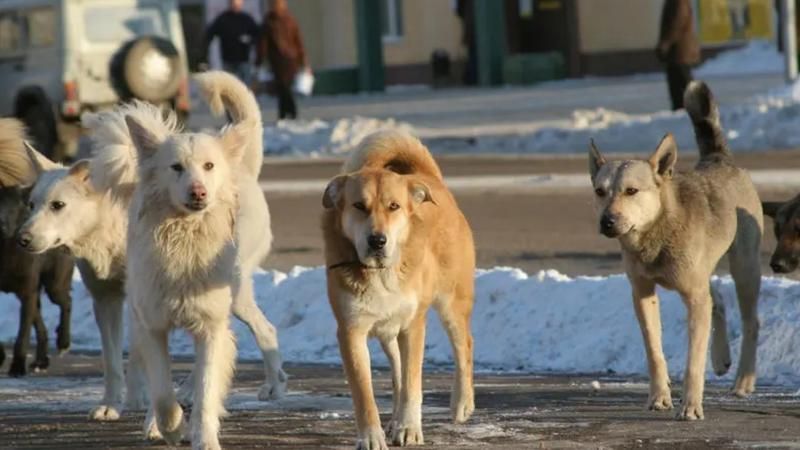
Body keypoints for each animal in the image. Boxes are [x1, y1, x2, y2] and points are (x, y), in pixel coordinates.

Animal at [322, 128, 476, 448]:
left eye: (393, 206)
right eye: (359, 206)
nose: (377, 240)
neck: (381, 273)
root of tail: (428, 177)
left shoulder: (413, 326)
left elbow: (413, 383)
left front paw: (409, 428)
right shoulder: (351, 331)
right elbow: (364, 393)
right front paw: (372, 435)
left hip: (451, 303)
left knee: (464, 345)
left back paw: (461, 404)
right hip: (388, 332)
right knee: (397, 372)